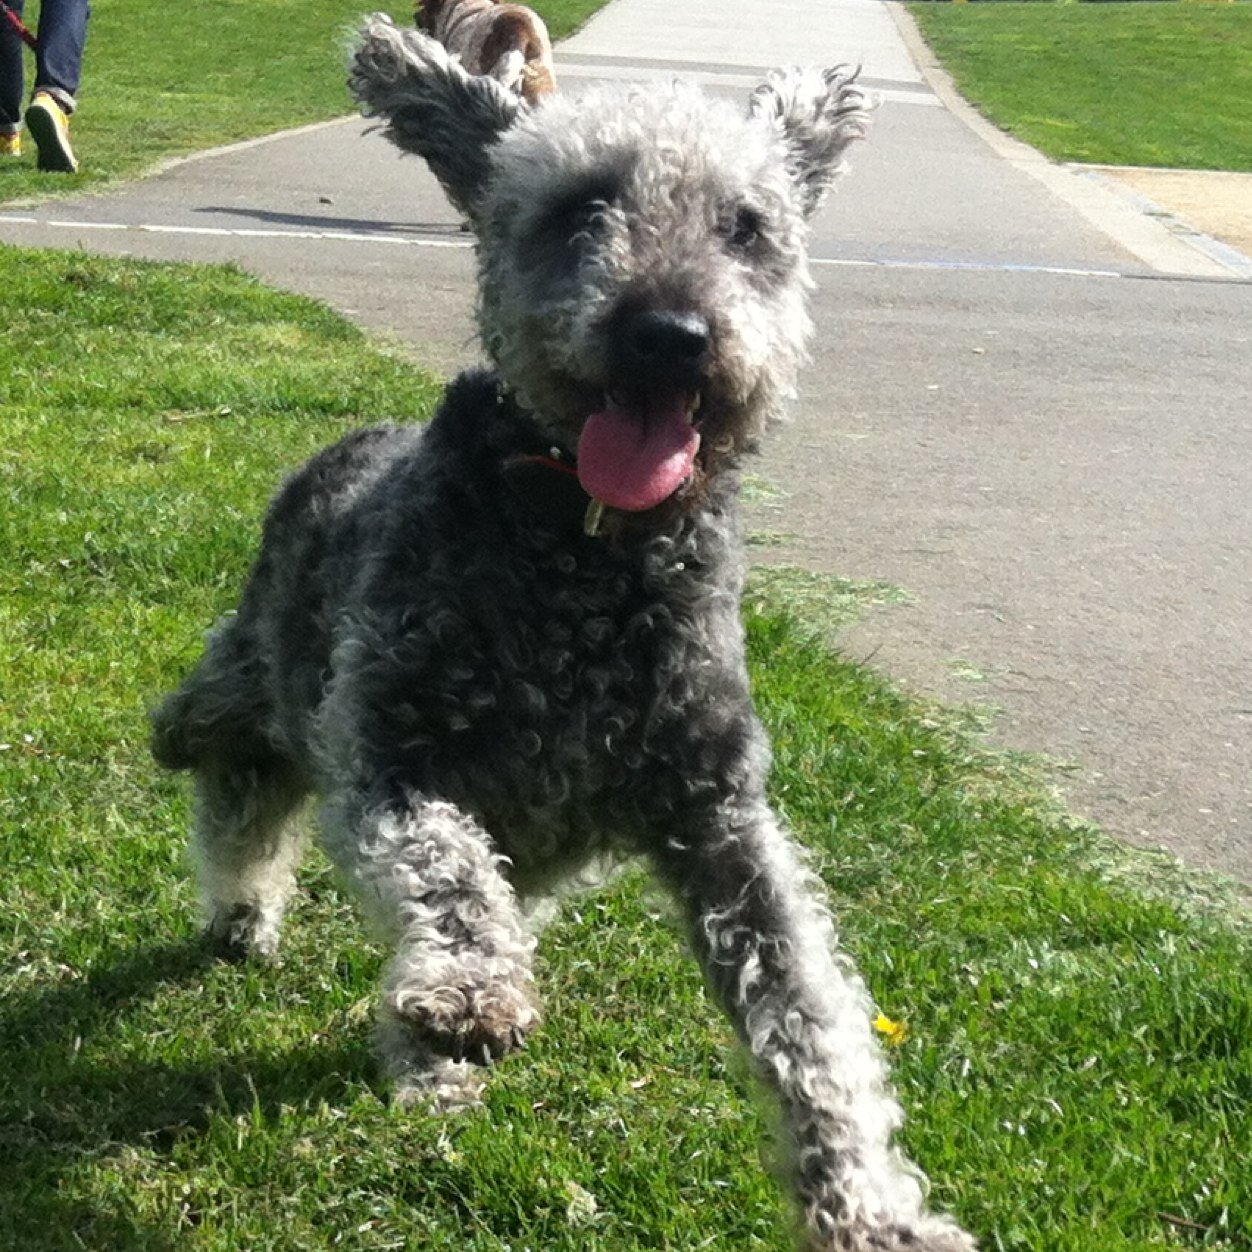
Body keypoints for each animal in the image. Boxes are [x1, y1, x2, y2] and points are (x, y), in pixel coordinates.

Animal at [151, 19, 976, 1252]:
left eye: (747, 225)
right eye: (579, 207)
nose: (669, 334)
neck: (584, 558)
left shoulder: (721, 820)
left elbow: (812, 1021)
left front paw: (871, 1205)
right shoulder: (390, 758)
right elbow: (443, 873)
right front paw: (469, 991)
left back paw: (420, 1057)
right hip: (256, 679)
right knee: (225, 768)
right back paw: (251, 910)